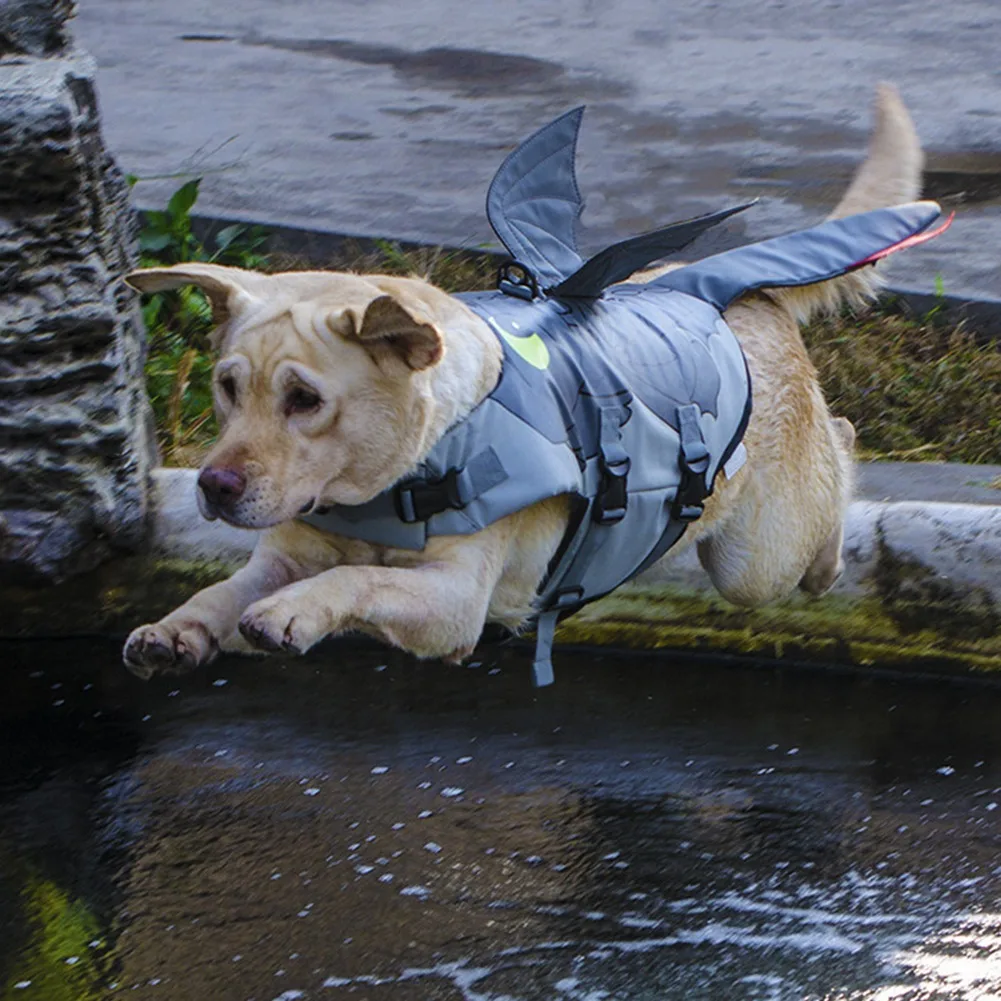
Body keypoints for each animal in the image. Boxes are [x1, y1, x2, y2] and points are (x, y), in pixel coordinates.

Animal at [125, 86, 928, 680]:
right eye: (228, 387)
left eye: (306, 400)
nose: (214, 486)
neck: (391, 481)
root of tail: (730, 286)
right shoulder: (284, 555)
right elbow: (226, 589)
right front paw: (179, 626)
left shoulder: (454, 604)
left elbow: (357, 582)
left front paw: (294, 611)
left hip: (756, 556)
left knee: (838, 451)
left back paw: (828, 555)